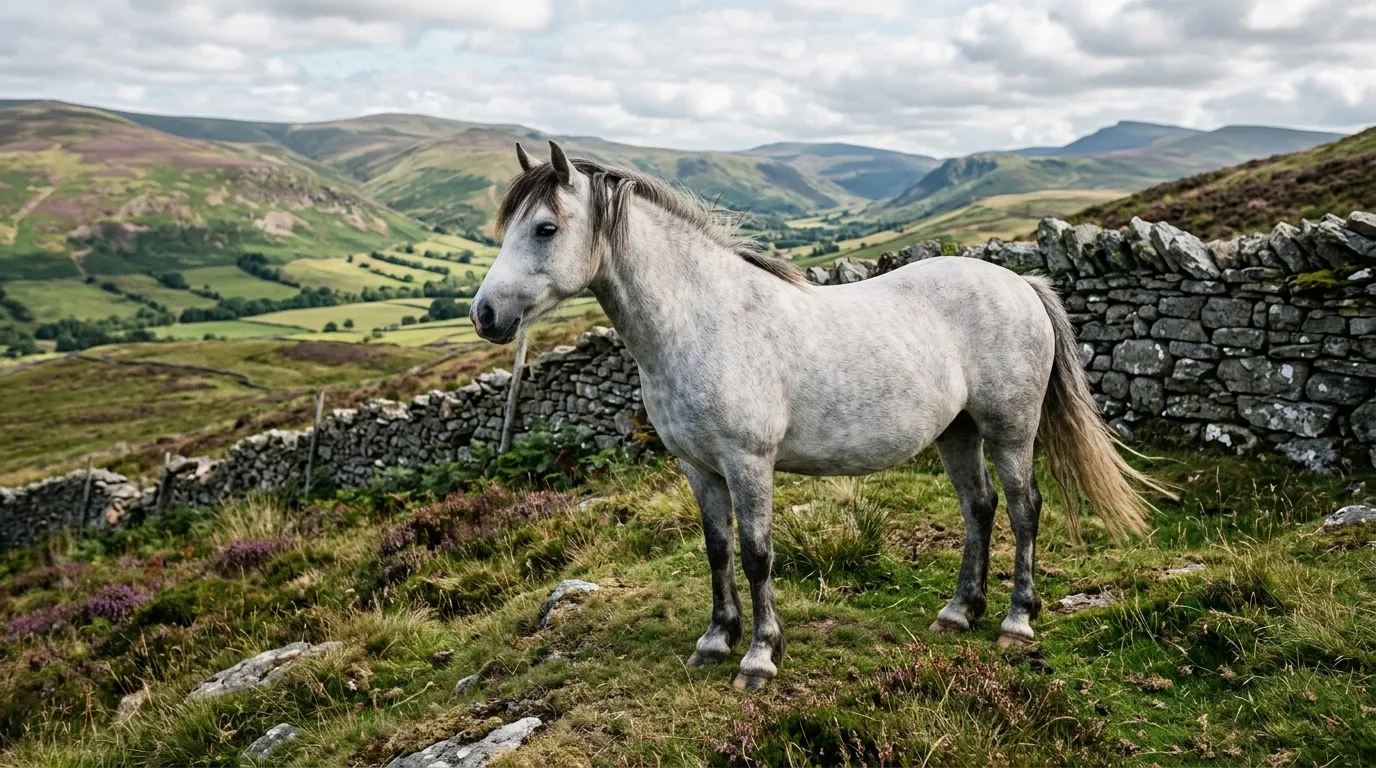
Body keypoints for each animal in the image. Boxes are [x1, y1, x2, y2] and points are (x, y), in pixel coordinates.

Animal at [470, 141, 1167, 690]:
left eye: (545, 228)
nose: (484, 314)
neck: (703, 320)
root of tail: (1021, 282)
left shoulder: (748, 463)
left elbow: (756, 553)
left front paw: (759, 657)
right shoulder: (698, 468)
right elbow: (717, 549)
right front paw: (714, 641)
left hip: (1009, 428)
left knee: (1024, 510)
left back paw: (1017, 620)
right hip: (957, 432)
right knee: (981, 507)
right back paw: (957, 612)